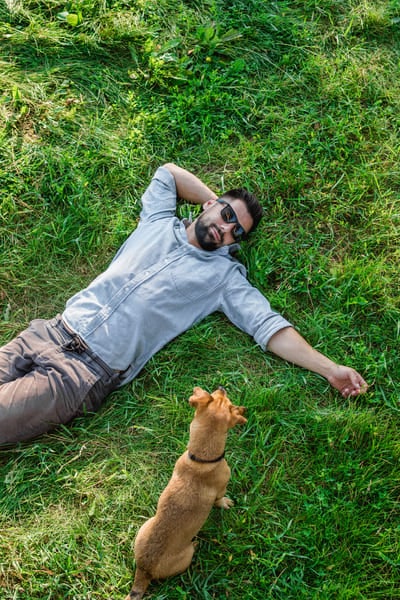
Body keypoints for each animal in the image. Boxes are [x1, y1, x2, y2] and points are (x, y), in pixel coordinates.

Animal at [123, 386, 247, 596]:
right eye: (228, 401)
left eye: (217, 395)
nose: (222, 387)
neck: (201, 460)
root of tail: (144, 572)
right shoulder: (221, 487)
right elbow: (220, 499)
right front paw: (226, 503)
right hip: (186, 557)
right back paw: (196, 544)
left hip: (143, 527)